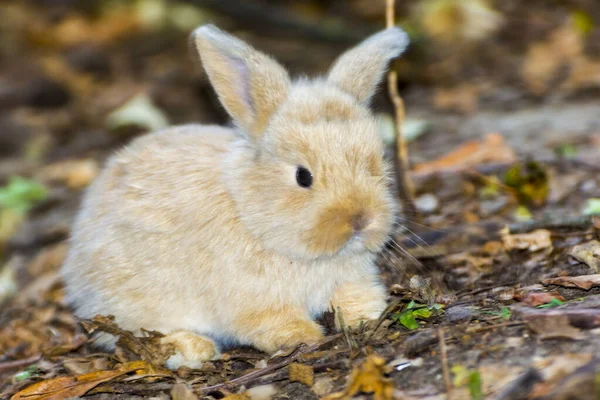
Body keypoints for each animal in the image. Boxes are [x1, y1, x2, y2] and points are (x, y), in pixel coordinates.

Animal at [62, 24, 408, 368]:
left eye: (376, 162)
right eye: (303, 176)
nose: (360, 219)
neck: (251, 215)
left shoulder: (349, 278)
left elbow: (353, 296)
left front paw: (366, 315)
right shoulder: (256, 302)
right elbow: (274, 321)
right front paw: (305, 337)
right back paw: (195, 349)